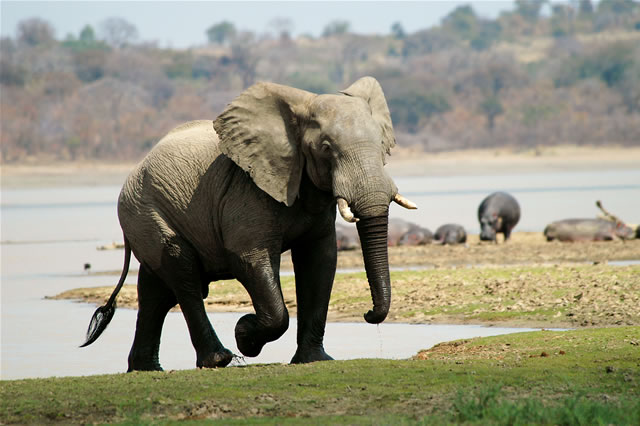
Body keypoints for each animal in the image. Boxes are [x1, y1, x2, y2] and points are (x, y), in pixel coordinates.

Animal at [80, 77, 418, 372]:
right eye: (325, 148)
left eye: (383, 145)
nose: (368, 313)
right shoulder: (247, 188)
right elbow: (249, 258)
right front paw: (245, 335)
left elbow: (320, 261)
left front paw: (315, 360)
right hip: (144, 211)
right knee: (183, 277)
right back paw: (218, 359)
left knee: (156, 290)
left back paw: (146, 369)